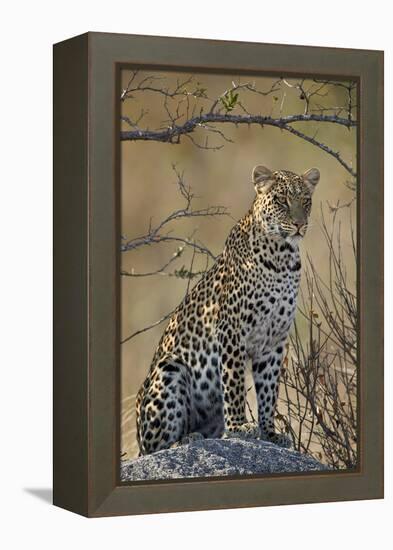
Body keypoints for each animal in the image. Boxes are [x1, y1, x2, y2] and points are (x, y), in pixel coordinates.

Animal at [135, 165, 318, 458]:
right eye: (281, 201)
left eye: (306, 201)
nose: (300, 224)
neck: (283, 257)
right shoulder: (231, 331)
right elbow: (234, 384)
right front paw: (239, 427)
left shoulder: (274, 341)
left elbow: (269, 391)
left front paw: (269, 433)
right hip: (169, 367)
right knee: (155, 447)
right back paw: (185, 440)